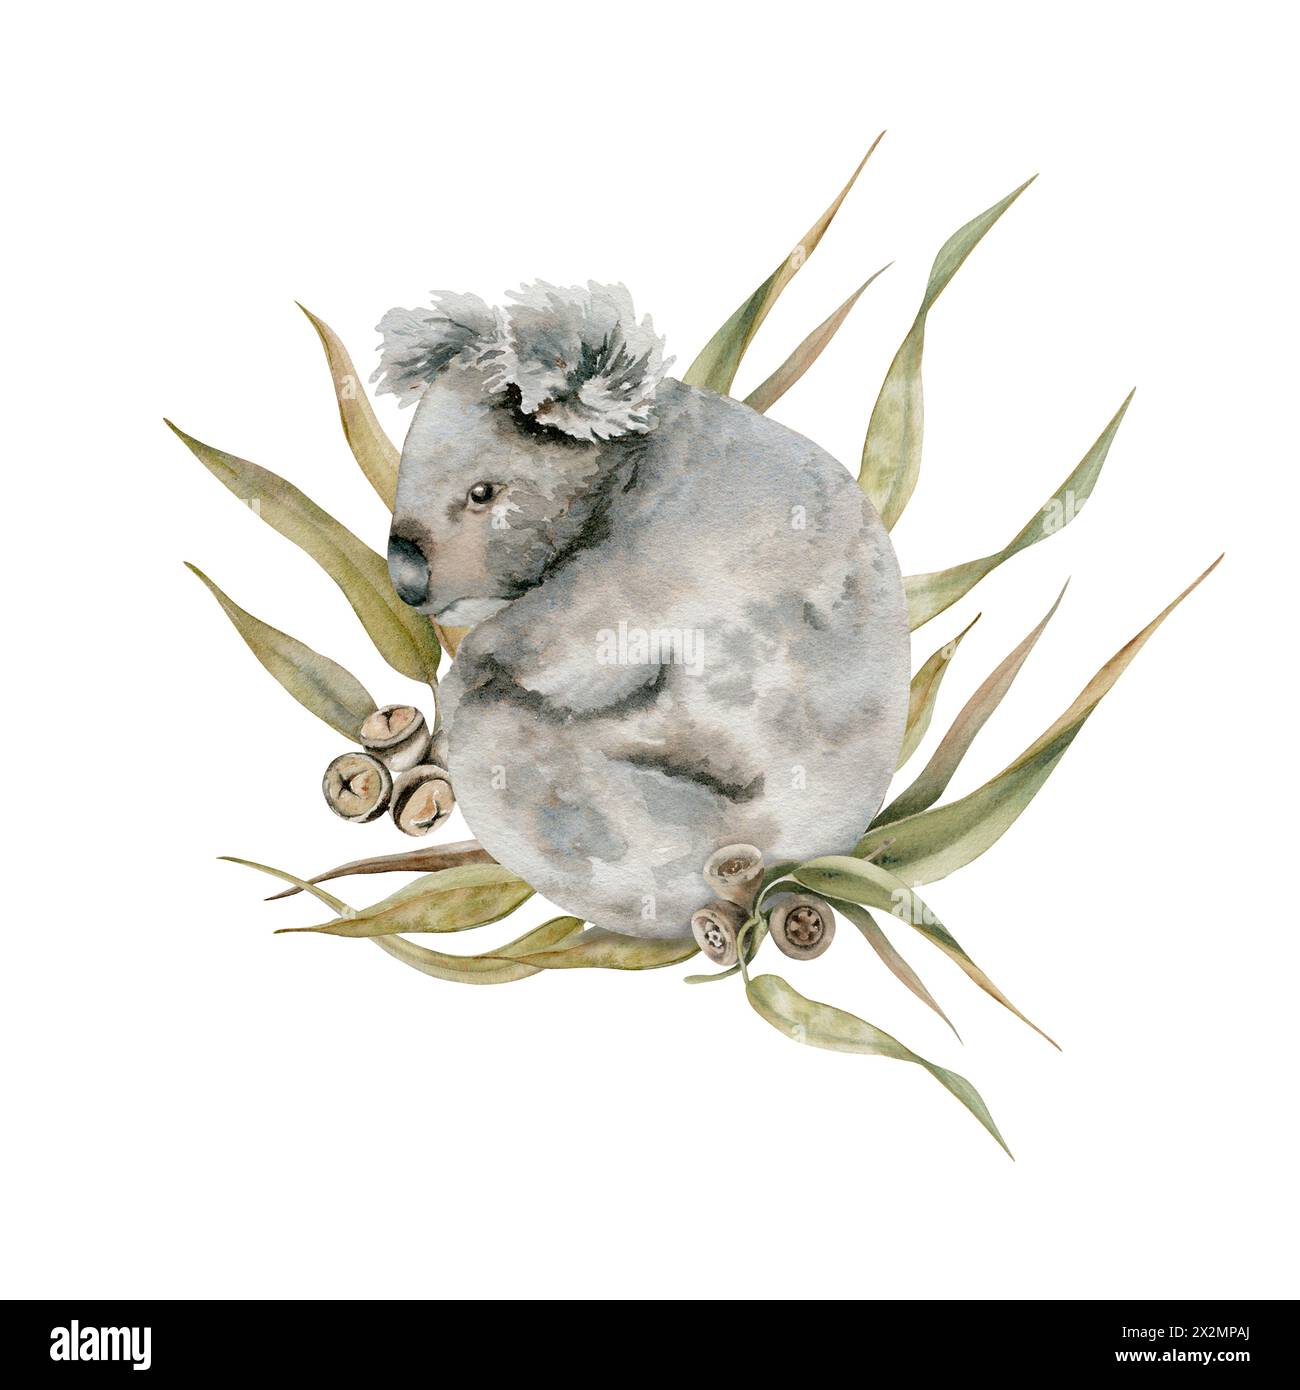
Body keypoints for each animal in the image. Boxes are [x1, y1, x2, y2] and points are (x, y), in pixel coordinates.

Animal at [374, 281, 910, 940]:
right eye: (404, 473)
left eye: (483, 494)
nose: (406, 580)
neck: (635, 469)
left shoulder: (666, 560)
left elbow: (566, 639)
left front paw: (467, 673)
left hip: (642, 824)